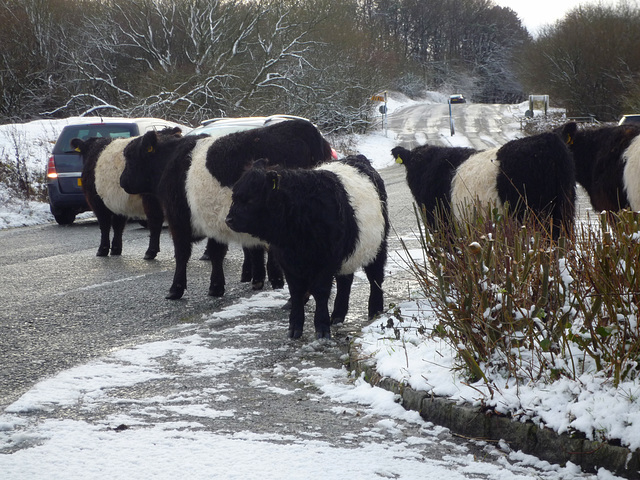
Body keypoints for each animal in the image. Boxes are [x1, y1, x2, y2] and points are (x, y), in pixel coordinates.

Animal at [118, 119, 336, 300]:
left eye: (130, 157)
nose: (122, 181)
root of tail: (307, 130)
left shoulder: (178, 219)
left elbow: (183, 254)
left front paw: (176, 290)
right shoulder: (214, 220)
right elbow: (218, 253)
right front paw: (219, 286)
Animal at [225, 156, 390, 340]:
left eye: (251, 198)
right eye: (234, 196)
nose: (229, 219)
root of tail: (357, 158)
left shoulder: (326, 261)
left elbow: (320, 291)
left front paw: (322, 328)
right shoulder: (288, 262)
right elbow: (296, 292)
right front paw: (294, 327)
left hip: (378, 245)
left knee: (375, 276)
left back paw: (375, 311)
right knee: (345, 281)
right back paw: (338, 315)